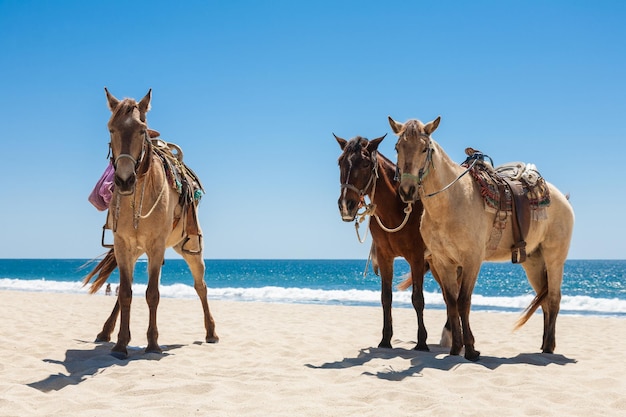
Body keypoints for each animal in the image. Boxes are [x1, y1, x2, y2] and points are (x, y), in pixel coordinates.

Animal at [82, 88, 219, 358]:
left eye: (141, 129)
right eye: (111, 128)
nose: (124, 180)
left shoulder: (156, 247)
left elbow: (152, 294)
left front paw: (153, 343)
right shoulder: (123, 246)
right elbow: (125, 293)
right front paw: (121, 344)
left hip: (189, 248)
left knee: (201, 286)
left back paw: (211, 333)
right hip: (135, 252)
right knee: (124, 292)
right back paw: (105, 331)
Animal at [334, 132, 436, 348]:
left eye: (365, 164)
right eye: (340, 162)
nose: (346, 205)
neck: (396, 209)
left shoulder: (416, 257)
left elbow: (418, 298)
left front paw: (422, 343)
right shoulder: (384, 257)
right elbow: (386, 297)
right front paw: (385, 340)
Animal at [388, 115, 572, 360]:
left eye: (425, 148)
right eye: (397, 147)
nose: (407, 190)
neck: (451, 201)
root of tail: (563, 198)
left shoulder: (472, 260)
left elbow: (464, 301)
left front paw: (471, 349)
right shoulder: (442, 262)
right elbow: (451, 301)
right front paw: (456, 347)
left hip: (554, 260)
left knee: (553, 298)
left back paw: (550, 346)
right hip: (533, 262)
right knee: (544, 302)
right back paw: (543, 346)